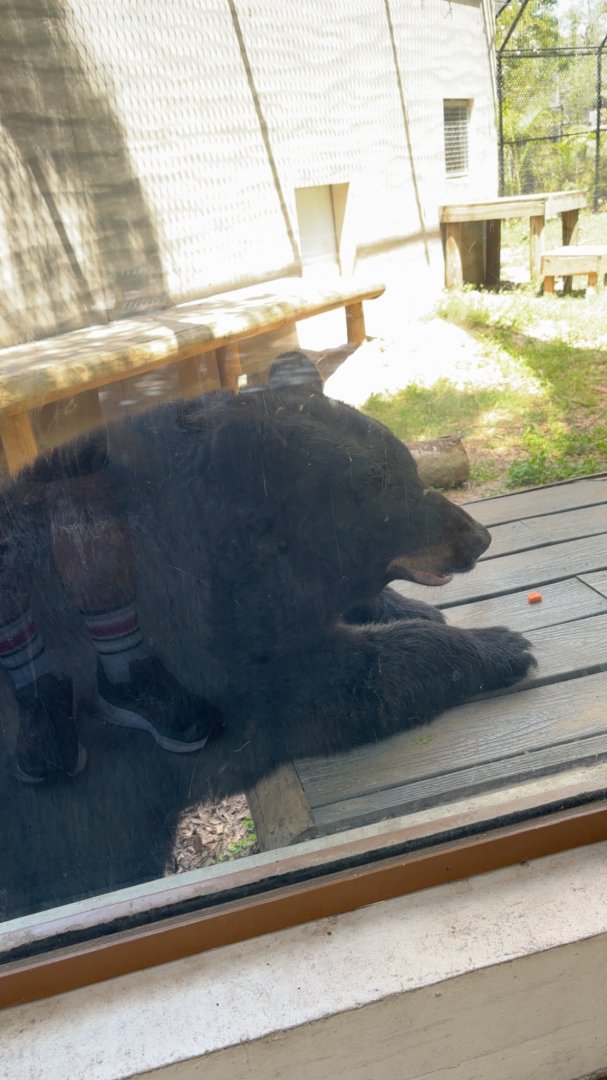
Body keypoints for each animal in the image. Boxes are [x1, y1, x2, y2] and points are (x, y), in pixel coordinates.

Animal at [0, 371, 535, 917]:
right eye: (385, 489)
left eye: (410, 467)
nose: (479, 537)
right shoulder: (197, 656)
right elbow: (317, 685)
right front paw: (498, 646)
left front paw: (409, 608)